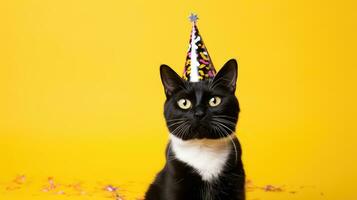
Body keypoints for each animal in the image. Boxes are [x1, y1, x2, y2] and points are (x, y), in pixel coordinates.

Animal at [145, 58, 245, 199]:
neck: (203, 149)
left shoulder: (236, 180)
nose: (199, 113)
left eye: (214, 101)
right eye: (184, 103)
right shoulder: (174, 178)